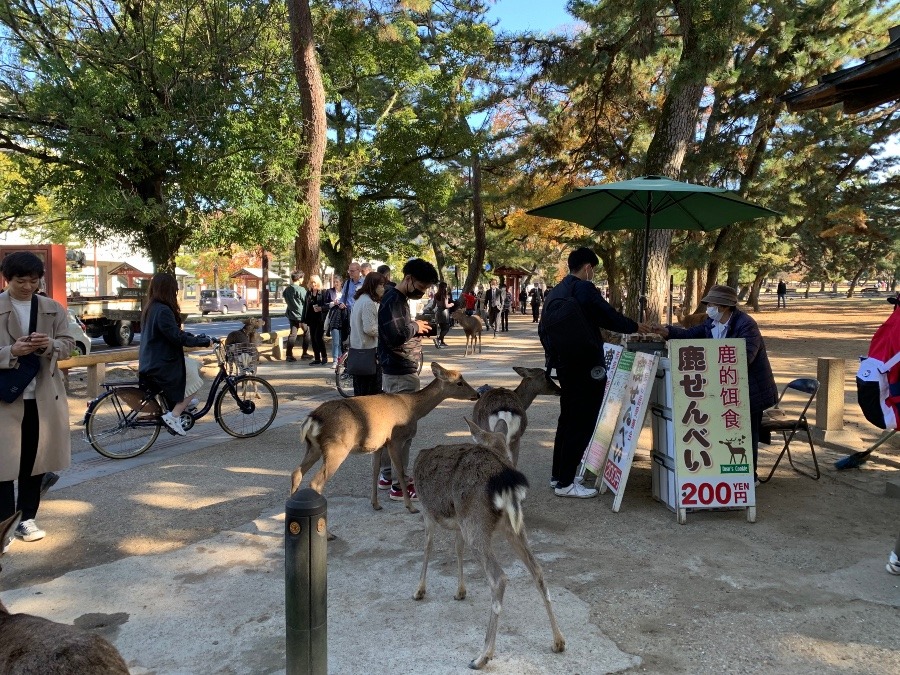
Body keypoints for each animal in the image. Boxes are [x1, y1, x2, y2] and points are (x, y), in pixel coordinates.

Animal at [292, 364, 482, 512]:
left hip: (313, 447)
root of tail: (313, 418)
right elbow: (400, 471)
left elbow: (375, 471)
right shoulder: (396, 439)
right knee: (315, 483)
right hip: (336, 447)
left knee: (296, 473)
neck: (413, 409)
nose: (477, 394)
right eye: (459, 382)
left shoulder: (378, 444)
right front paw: (410, 507)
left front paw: (375, 504)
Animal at [414, 420, 564, 668]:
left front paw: (419, 591)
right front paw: (460, 591)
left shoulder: (427, 511)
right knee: (538, 570)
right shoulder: (459, 523)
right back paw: (559, 641)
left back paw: (482, 656)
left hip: (476, 523)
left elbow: (427, 547)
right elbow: (457, 549)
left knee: (499, 578)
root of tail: (505, 480)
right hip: (512, 527)